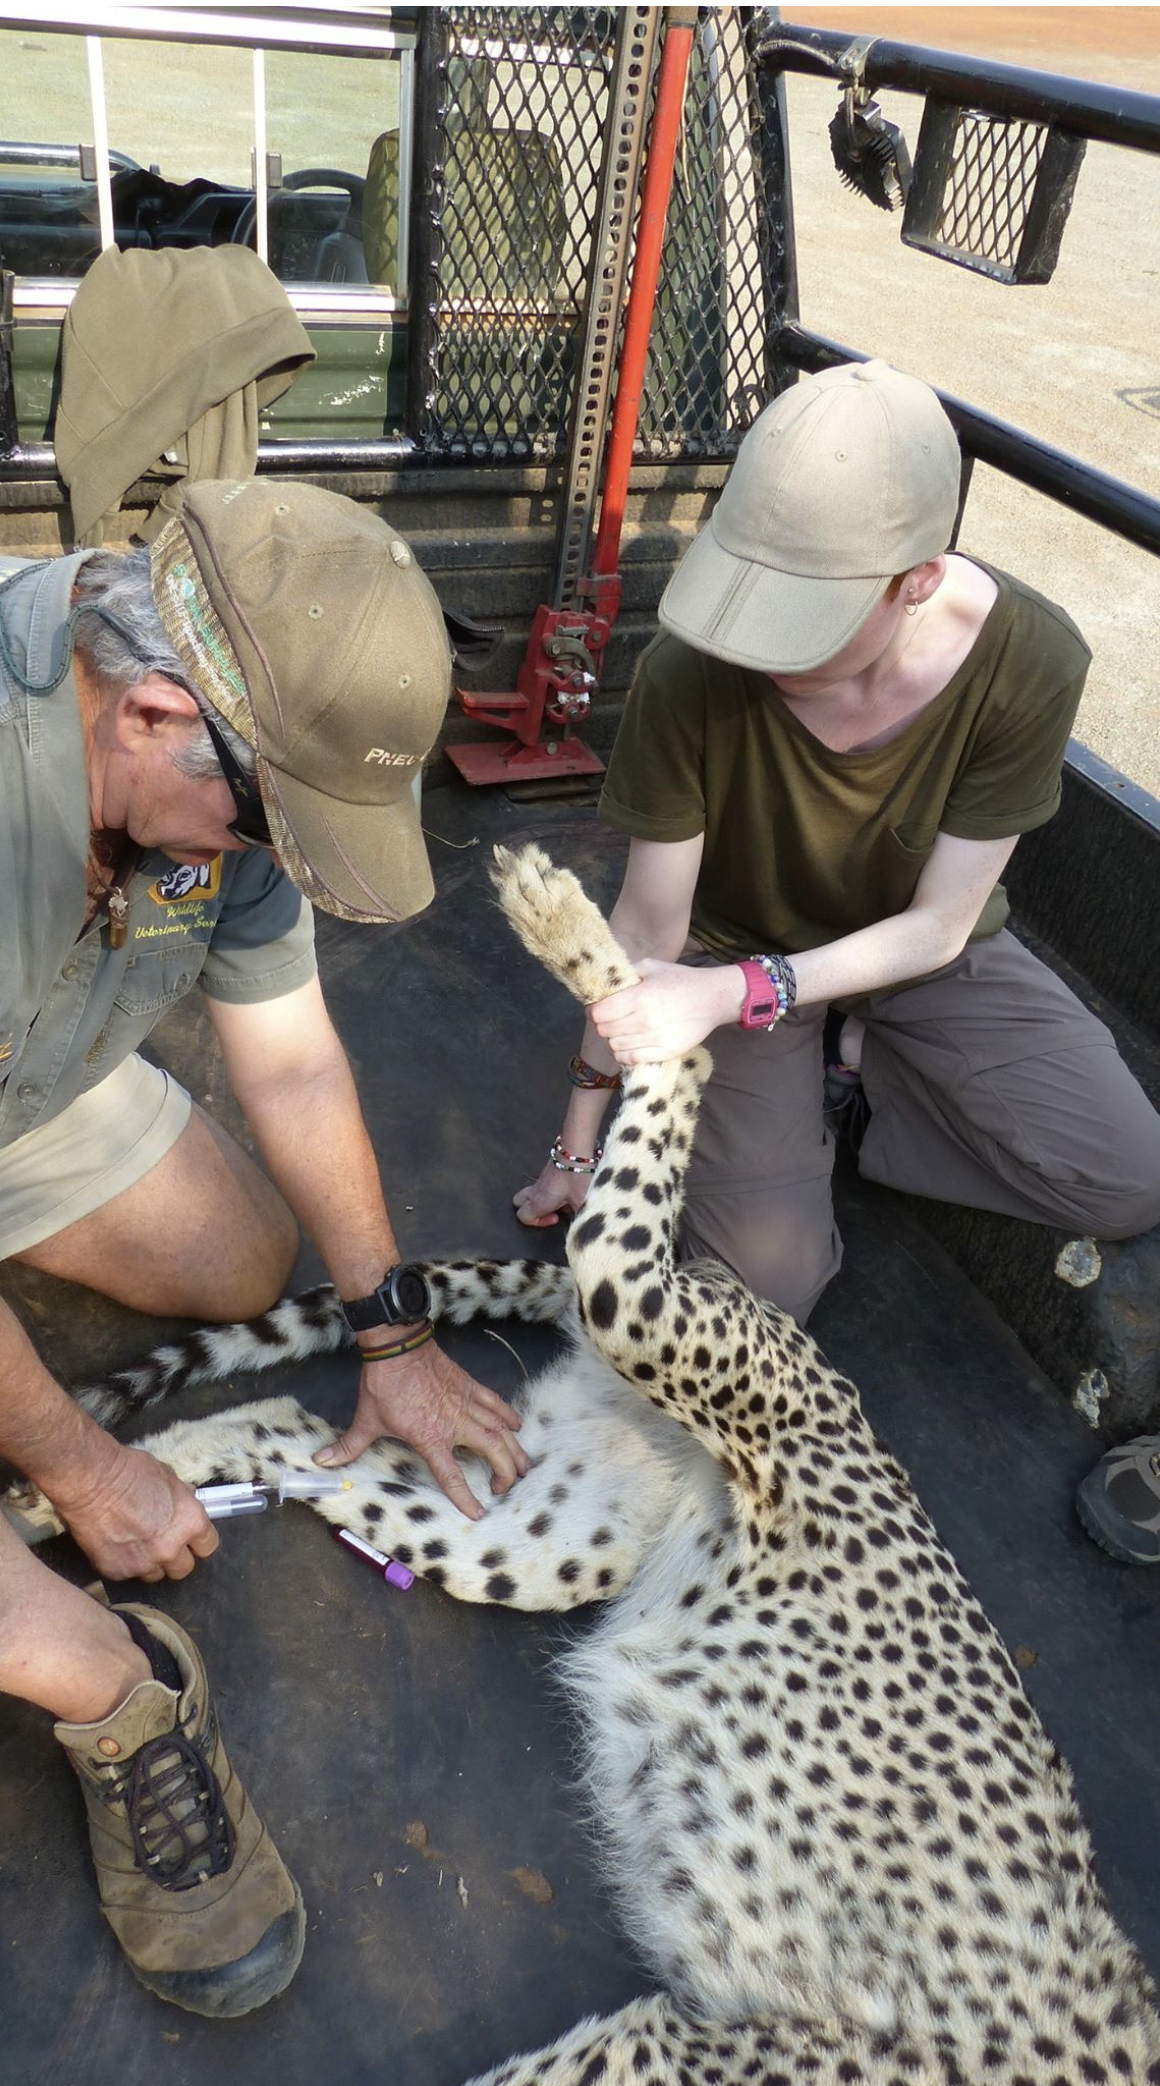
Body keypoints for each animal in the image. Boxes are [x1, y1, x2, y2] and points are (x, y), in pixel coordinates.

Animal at [6, 842, 1159, 2086]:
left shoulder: (701, 2040)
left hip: (541, 1530)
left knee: (286, 1426)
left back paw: (87, 1496)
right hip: (650, 1323)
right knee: (677, 1075)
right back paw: (563, 923)